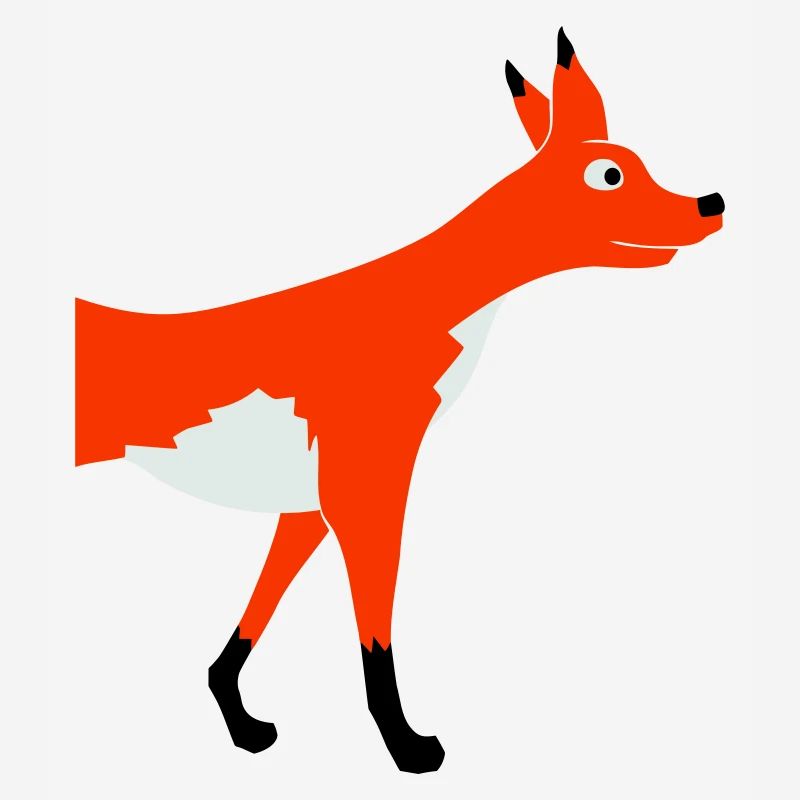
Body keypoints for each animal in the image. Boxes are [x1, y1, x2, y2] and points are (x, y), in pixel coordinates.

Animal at [75, 29, 724, 773]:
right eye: (610, 175)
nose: (710, 202)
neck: (415, 306)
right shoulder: (367, 492)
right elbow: (376, 639)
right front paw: (405, 746)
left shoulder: (311, 505)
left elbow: (249, 625)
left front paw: (239, 719)